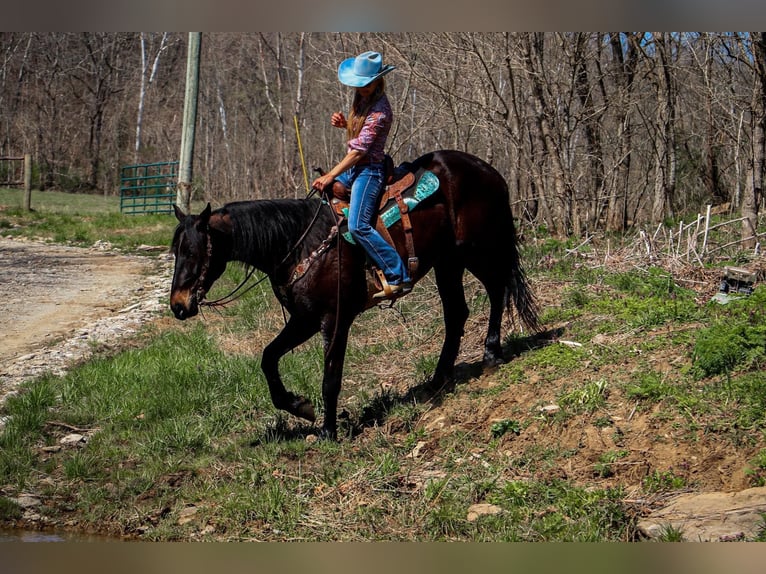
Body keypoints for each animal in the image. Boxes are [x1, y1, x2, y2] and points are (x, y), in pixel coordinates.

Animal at [170, 150, 540, 440]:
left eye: (192, 251)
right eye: (175, 251)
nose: (178, 306)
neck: (297, 242)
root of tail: (488, 170)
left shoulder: (335, 319)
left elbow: (331, 377)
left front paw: (328, 430)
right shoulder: (304, 319)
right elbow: (268, 357)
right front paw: (300, 407)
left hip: (476, 249)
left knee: (498, 289)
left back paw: (491, 353)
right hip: (447, 262)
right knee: (457, 313)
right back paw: (438, 379)